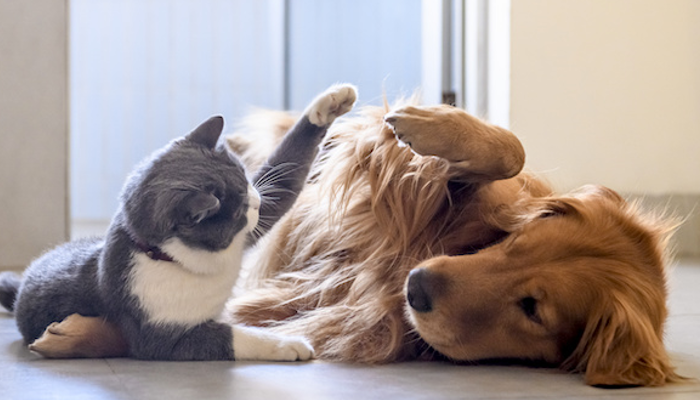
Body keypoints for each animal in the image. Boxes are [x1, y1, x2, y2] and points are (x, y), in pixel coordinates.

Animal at [0, 83, 358, 360]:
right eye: (238, 209)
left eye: (245, 178)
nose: (256, 201)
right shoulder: (163, 336)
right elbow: (229, 337)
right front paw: (287, 344)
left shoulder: (250, 230)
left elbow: (285, 177)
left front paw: (330, 103)